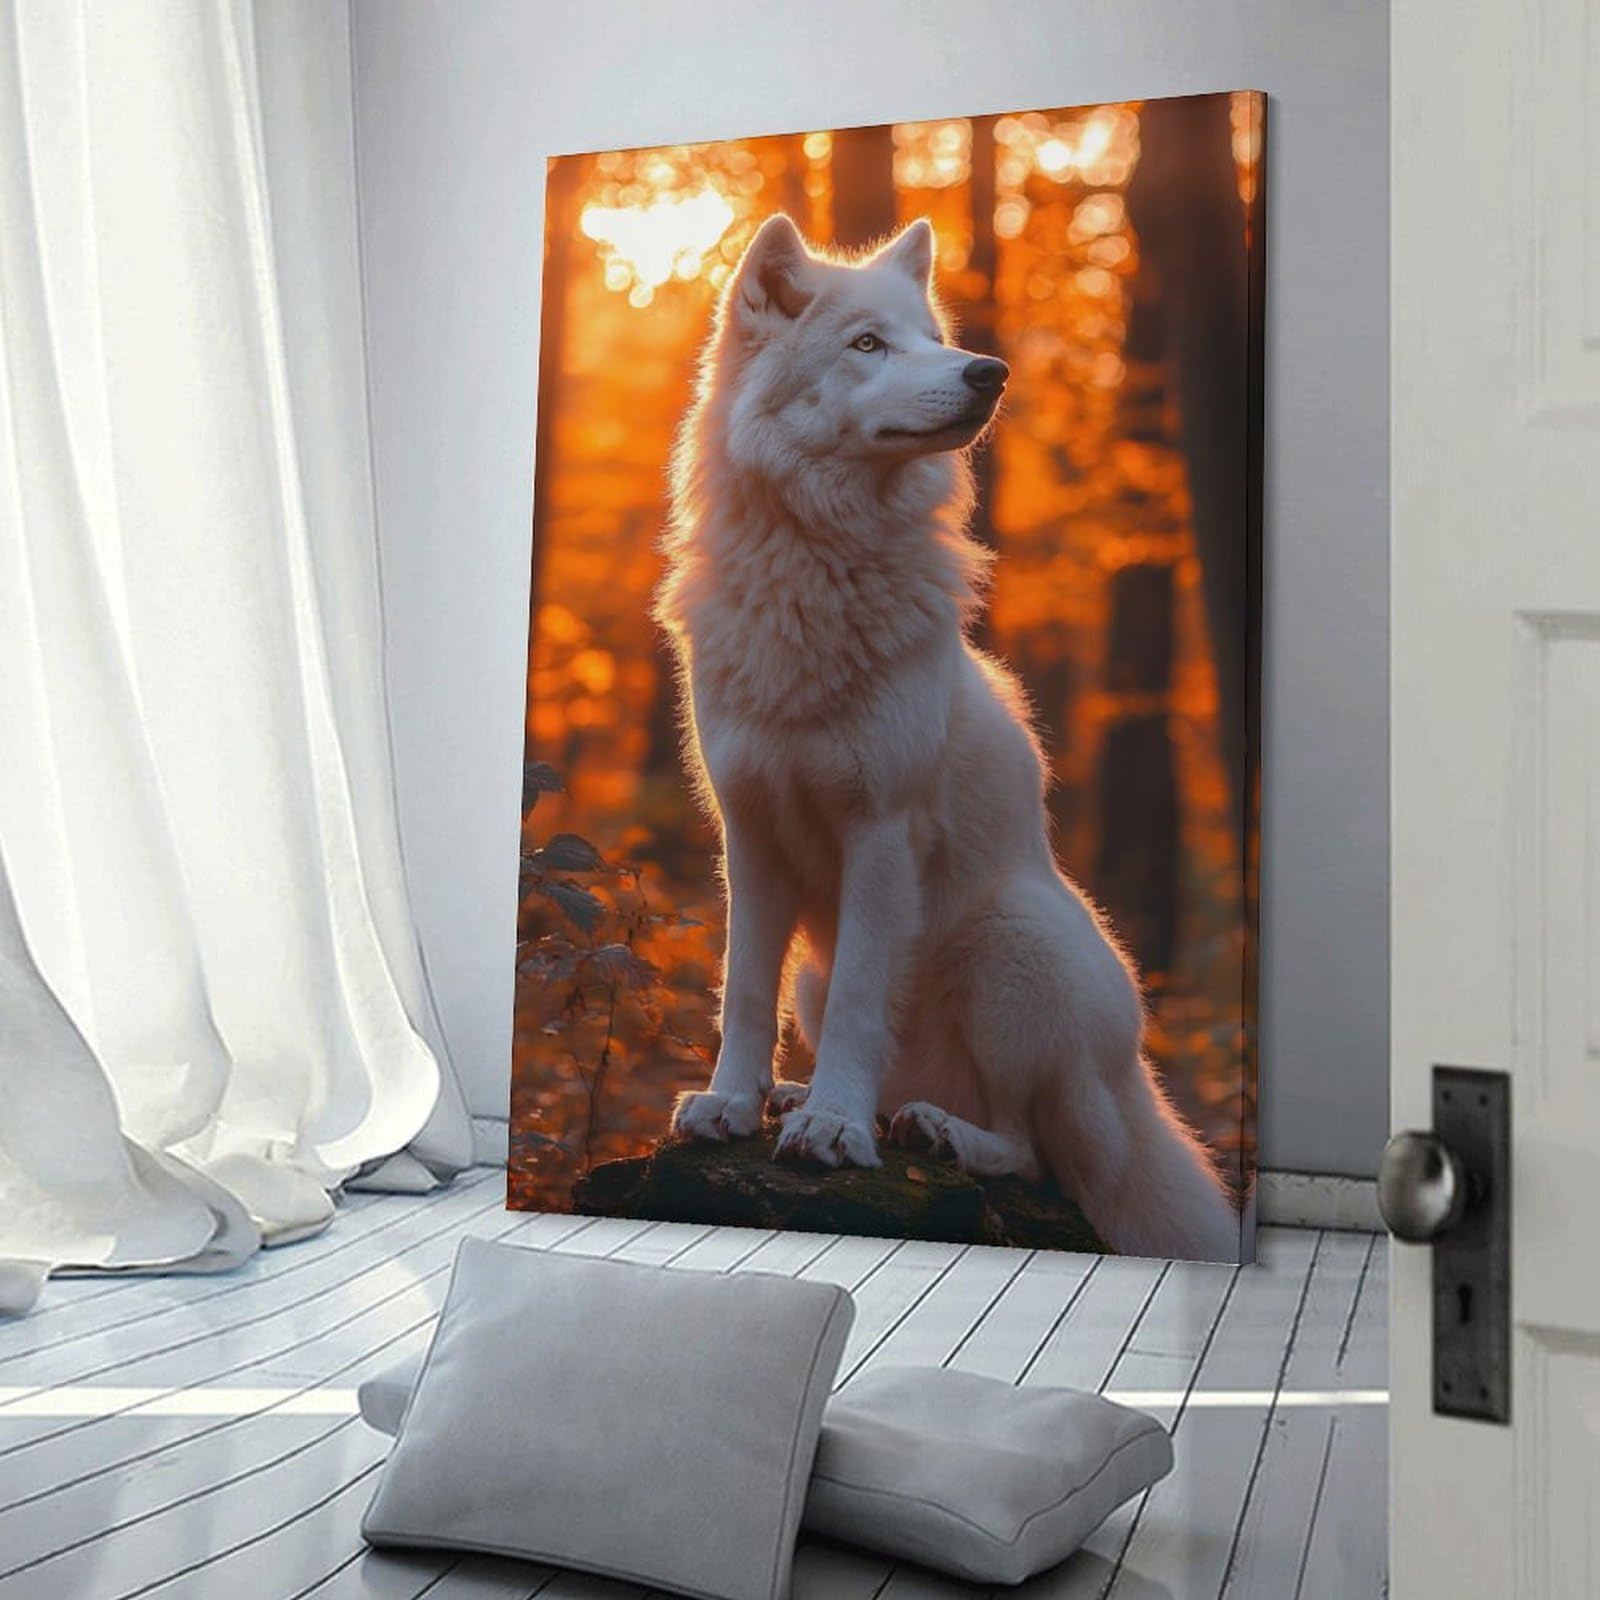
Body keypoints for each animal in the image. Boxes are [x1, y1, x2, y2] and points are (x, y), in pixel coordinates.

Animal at [654, 212, 1240, 1261]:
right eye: (867, 344)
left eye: (930, 337)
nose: (989, 371)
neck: (816, 565)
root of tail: (1132, 1087)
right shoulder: (748, 836)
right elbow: (740, 990)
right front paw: (732, 1104)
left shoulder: (881, 832)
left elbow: (861, 1007)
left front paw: (833, 1130)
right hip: (825, 969)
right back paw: (821, 1098)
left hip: (1009, 949)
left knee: (1036, 1151)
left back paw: (929, 1129)